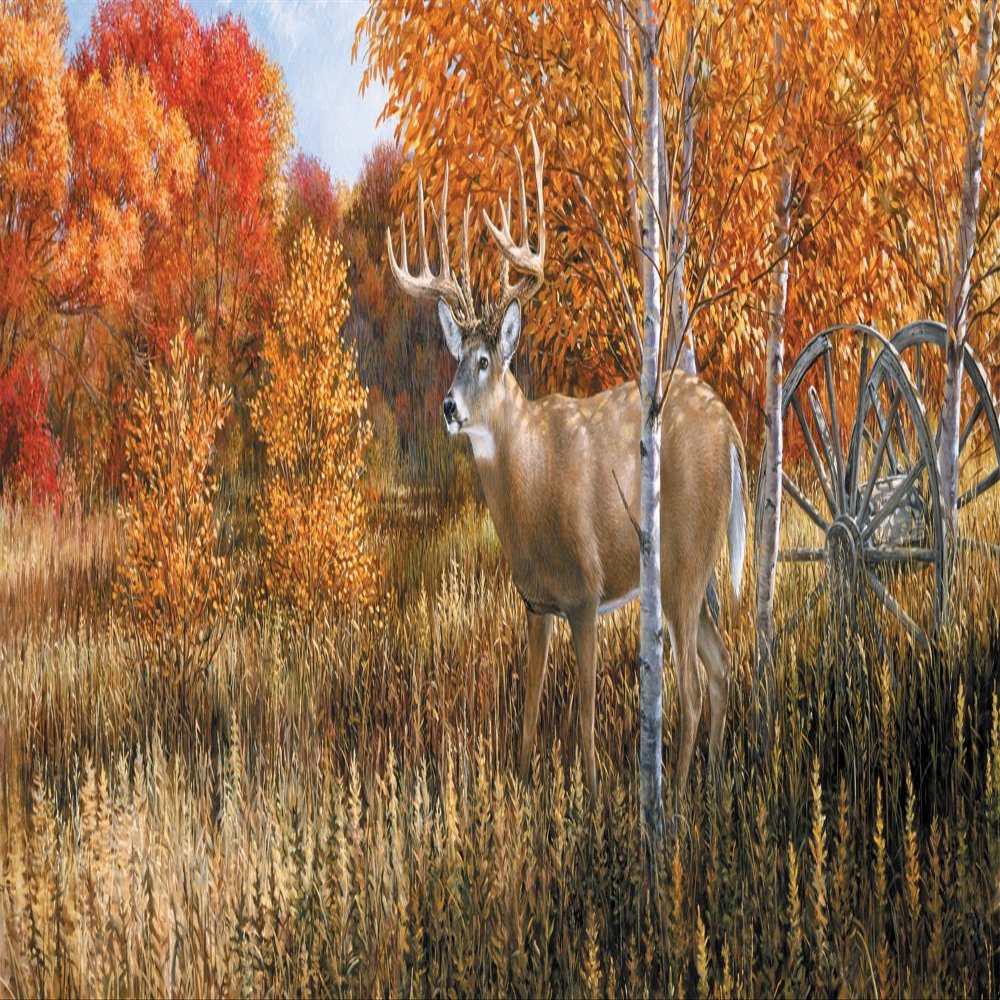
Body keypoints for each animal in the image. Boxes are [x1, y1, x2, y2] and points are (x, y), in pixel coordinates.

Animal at [387, 127, 747, 797]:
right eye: (456, 358)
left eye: (486, 361)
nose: (447, 407)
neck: (532, 488)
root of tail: (731, 426)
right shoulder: (537, 603)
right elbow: (530, 706)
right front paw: (525, 778)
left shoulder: (585, 592)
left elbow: (581, 715)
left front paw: (590, 793)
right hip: (701, 572)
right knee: (722, 668)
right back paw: (713, 785)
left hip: (683, 565)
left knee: (688, 687)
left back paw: (679, 797)